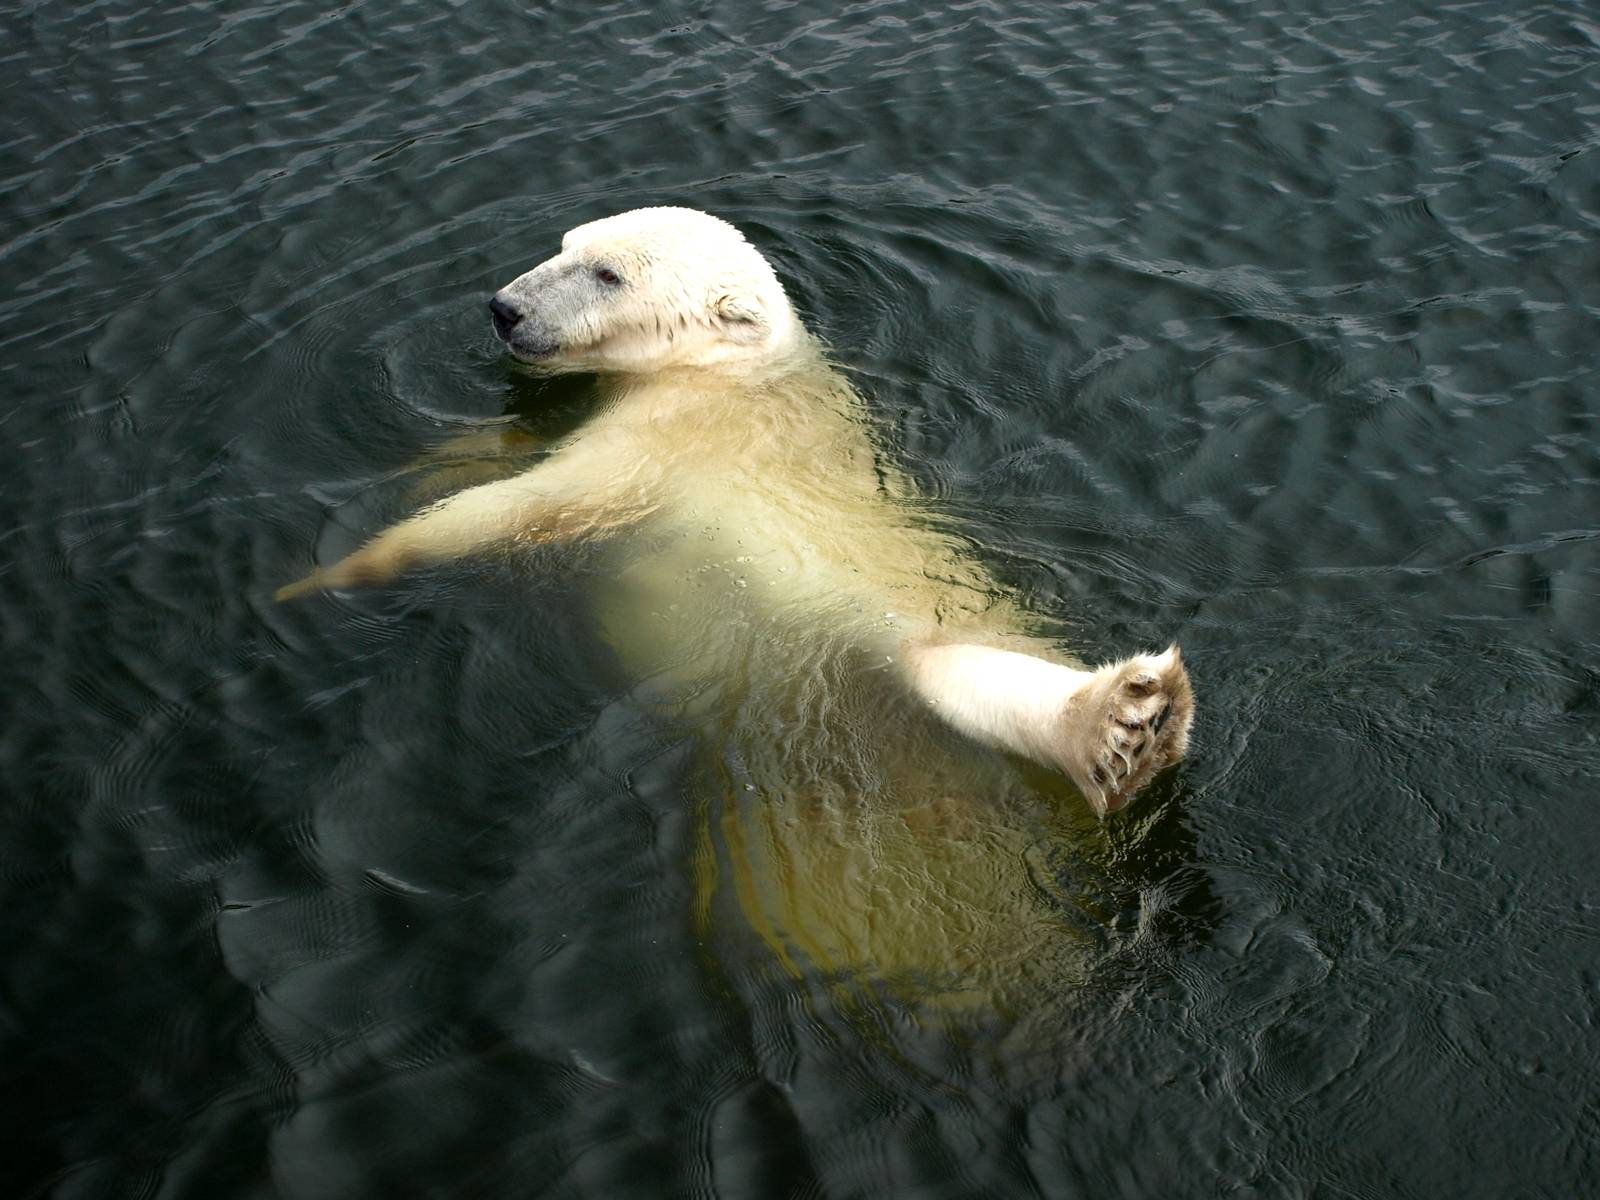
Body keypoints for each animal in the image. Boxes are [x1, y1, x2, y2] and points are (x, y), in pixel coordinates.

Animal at [276, 206, 1193, 817]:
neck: (733, 370)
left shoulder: (678, 440)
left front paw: (322, 578)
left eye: (607, 272)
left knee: (961, 672)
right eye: (566, 245)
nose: (505, 308)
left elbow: (531, 503)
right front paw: (420, 465)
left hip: (898, 613)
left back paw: (1124, 728)